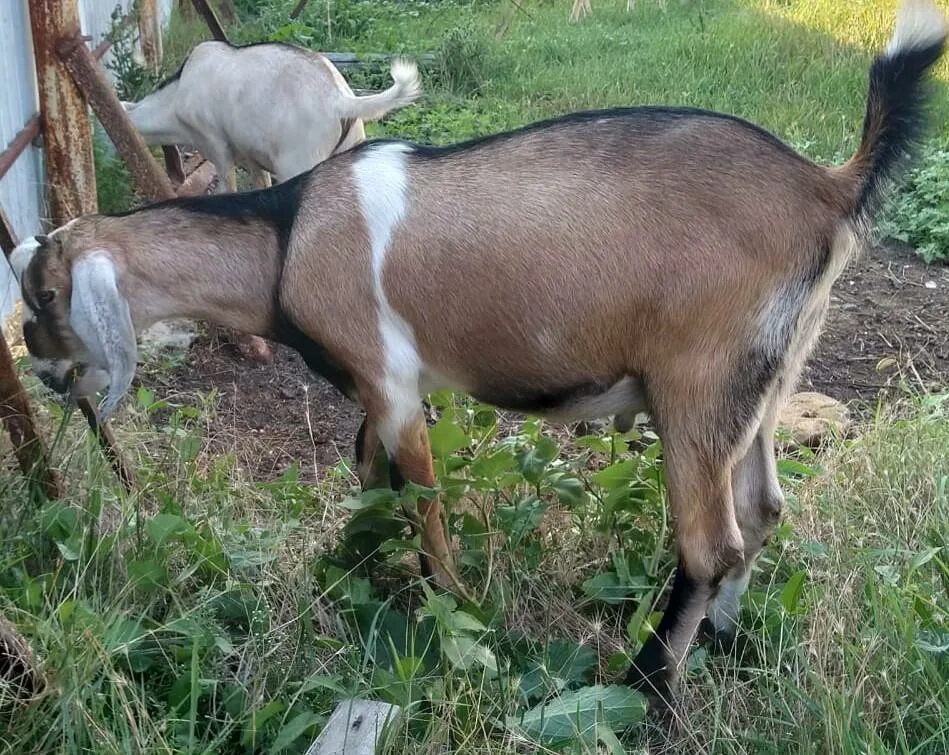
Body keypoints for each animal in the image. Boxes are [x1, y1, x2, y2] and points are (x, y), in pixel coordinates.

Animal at [122, 41, 418, 192]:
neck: (175, 97)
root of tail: (339, 100)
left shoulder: (215, 146)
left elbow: (227, 186)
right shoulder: (252, 156)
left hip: (299, 162)